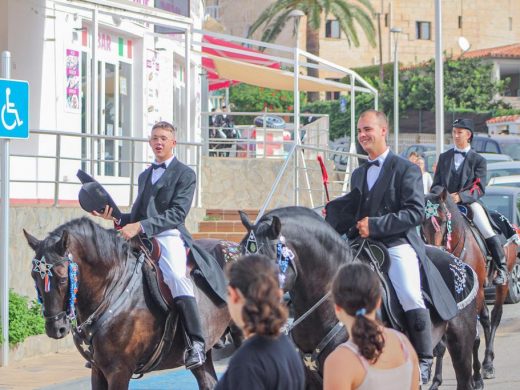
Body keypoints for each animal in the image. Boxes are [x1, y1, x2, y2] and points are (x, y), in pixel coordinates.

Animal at [24, 218, 242, 388]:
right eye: (34, 277)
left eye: (62, 278)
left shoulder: (119, 370)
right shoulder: (98, 369)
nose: (55, 328)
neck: (112, 289)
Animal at [422, 189, 516, 386]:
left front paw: (477, 378)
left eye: (444, 220)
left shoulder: (476, 293)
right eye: (421, 222)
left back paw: (488, 365)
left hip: (501, 284)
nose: (434, 251)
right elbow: (442, 342)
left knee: (495, 316)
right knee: (486, 318)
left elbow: (473, 337)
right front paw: (436, 380)